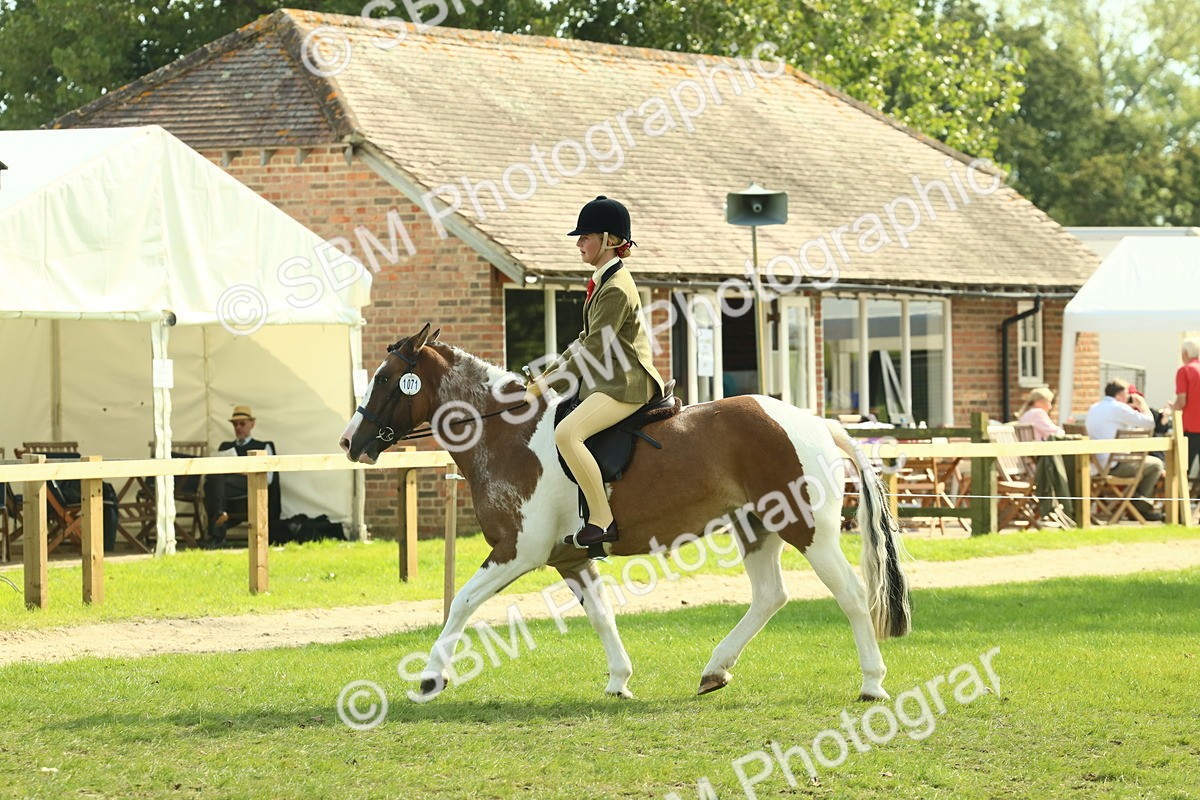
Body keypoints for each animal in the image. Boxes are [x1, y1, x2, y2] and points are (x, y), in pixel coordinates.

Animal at [340, 323, 911, 701]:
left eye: (387, 379)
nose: (349, 442)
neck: (505, 434)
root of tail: (818, 423)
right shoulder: (569, 557)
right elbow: (601, 615)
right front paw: (619, 680)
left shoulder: (516, 551)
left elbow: (461, 602)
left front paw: (430, 678)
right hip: (756, 525)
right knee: (770, 595)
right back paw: (715, 670)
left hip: (808, 529)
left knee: (852, 595)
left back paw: (872, 684)